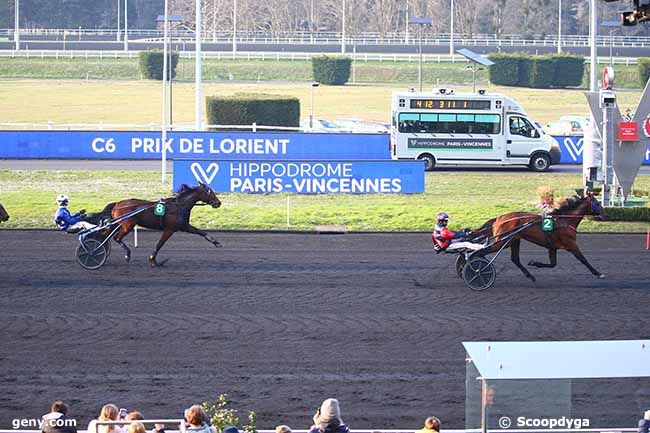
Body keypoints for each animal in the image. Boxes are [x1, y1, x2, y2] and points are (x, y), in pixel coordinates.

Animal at [468, 190, 604, 280]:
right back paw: (474, 268)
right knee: (479, 252)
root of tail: (499, 218)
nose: (605, 214)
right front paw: (598, 273)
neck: (564, 221)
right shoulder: (571, 244)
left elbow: (553, 264)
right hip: (502, 241)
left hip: (514, 240)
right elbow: (583, 259)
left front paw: (534, 263)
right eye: (597, 204)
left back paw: (529, 275)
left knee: (515, 259)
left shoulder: (552, 247)